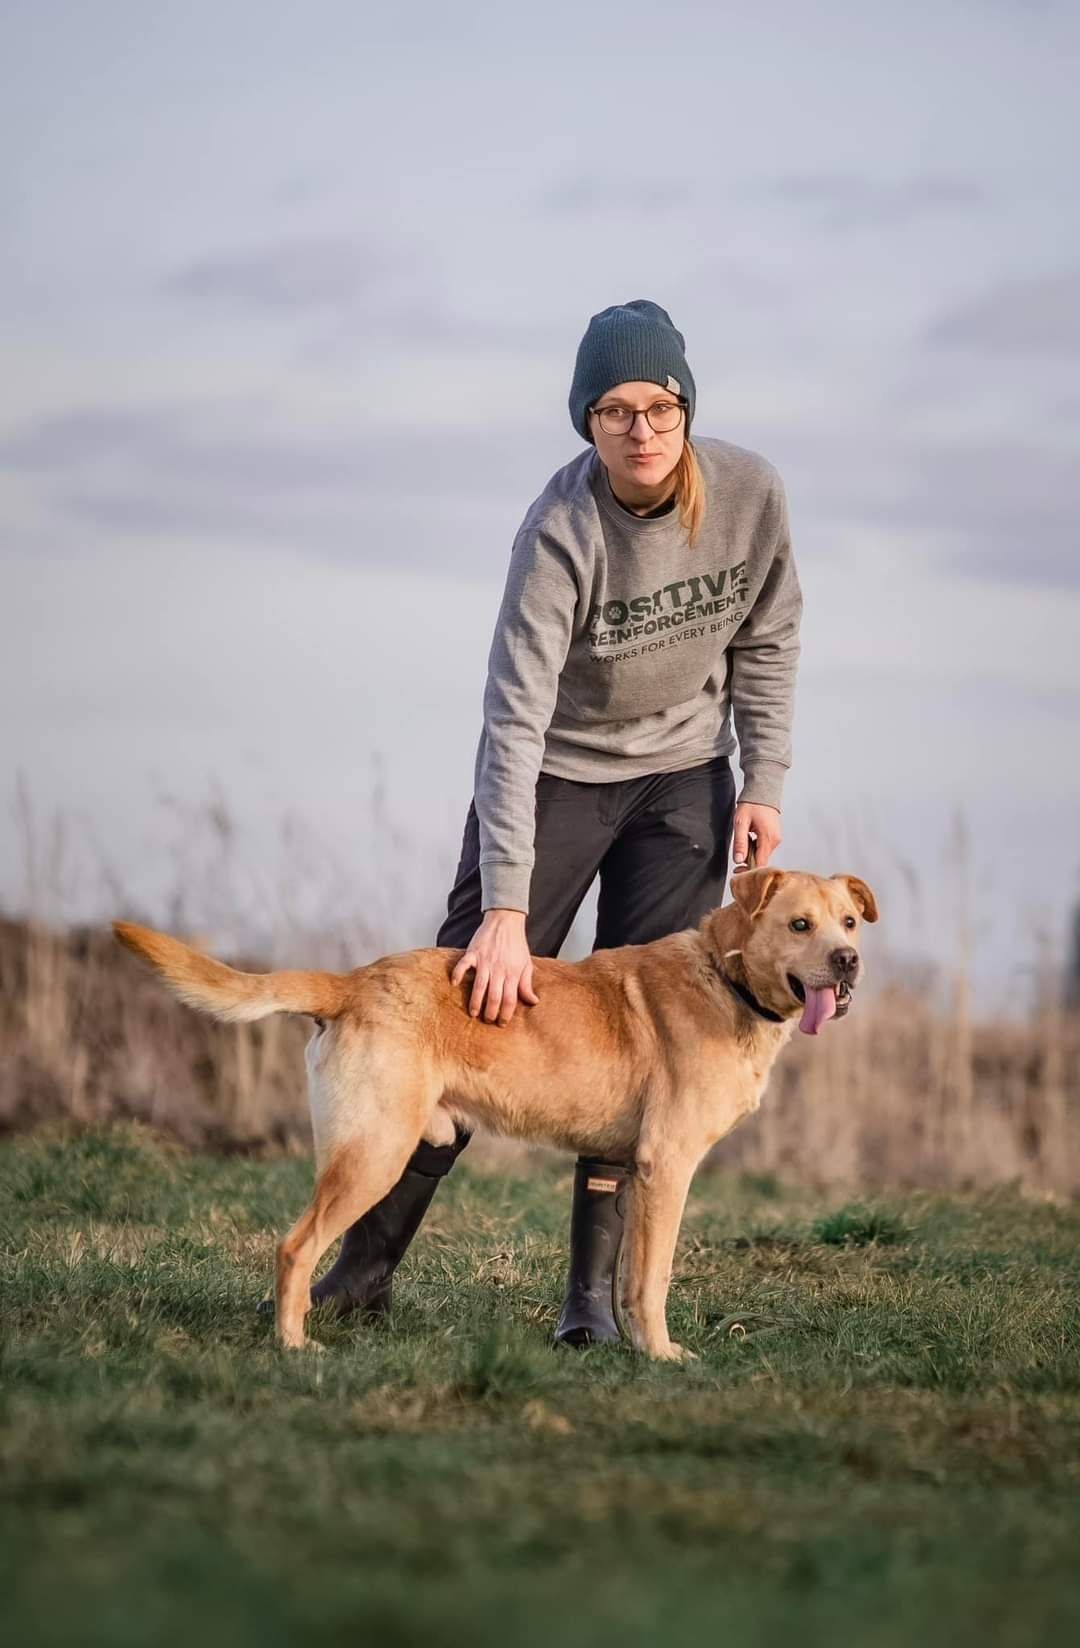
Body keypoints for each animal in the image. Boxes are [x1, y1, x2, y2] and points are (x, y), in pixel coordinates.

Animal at [116, 870, 877, 1357]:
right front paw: (661, 1355)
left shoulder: (637, 1167)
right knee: (294, 1246)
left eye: (846, 922)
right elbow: (652, 1278)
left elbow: (629, 1271)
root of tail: (353, 980)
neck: (726, 975)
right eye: (799, 924)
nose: (848, 961)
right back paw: (295, 1344)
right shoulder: (668, 1167)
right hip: (375, 1149)